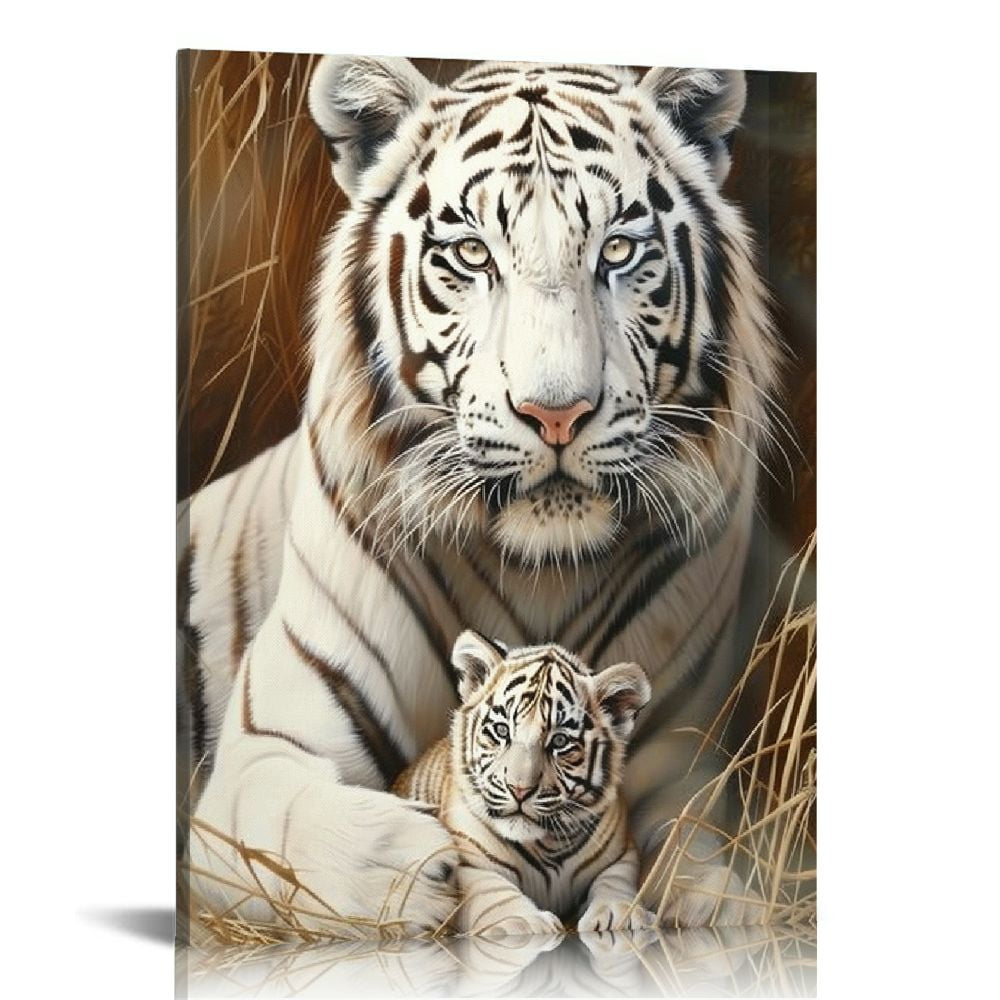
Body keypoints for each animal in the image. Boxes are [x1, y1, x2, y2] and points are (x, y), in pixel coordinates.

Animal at [392, 630, 655, 936]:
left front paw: (617, 914)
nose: (519, 789)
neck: (548, 846)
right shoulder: (470, 864)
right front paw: (524, 923)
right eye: (501, 730)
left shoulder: (622, 852)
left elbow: (615, 880)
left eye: (560, 741)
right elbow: (495, 892)